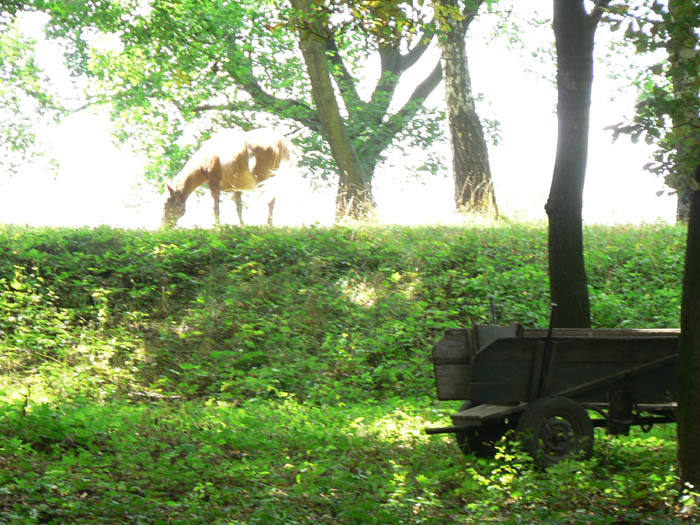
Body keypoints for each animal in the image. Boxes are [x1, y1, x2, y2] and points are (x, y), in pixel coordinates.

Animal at [161, 128, 295, 228]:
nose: (164, 226)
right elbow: (239, 208)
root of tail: (278, 140)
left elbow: (216, 208)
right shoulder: (237, 188)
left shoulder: (214, 185)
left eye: (166, 203)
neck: (206, 157)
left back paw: (268, 226)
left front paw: (218, 228)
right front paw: (242, 227)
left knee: (270, 200)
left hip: (263, 179)